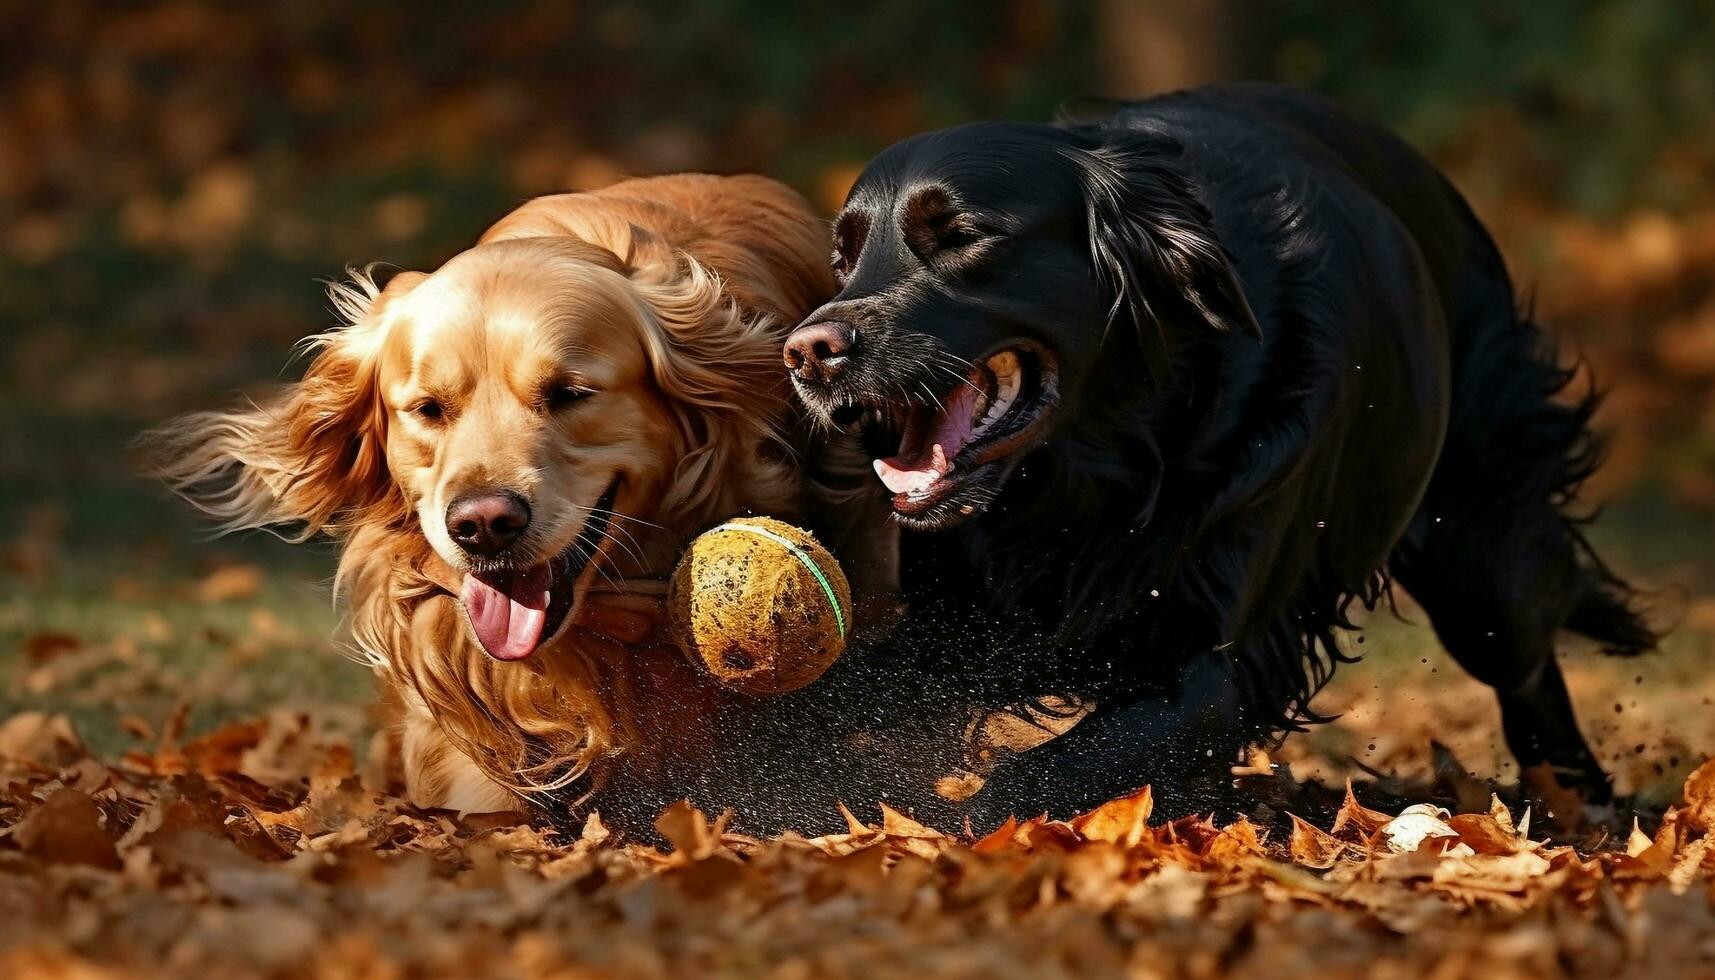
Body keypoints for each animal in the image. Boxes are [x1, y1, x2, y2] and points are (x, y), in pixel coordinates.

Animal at [785, 84, 1653, 823]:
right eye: (842, 258)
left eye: (962, 236)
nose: (807, 352)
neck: (1104, 465)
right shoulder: (954, 623)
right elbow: (824, 699)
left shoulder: (1203, 671)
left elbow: (1034, 776)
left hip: (1479, 564)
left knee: (1526, 658)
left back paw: (1579, 800)